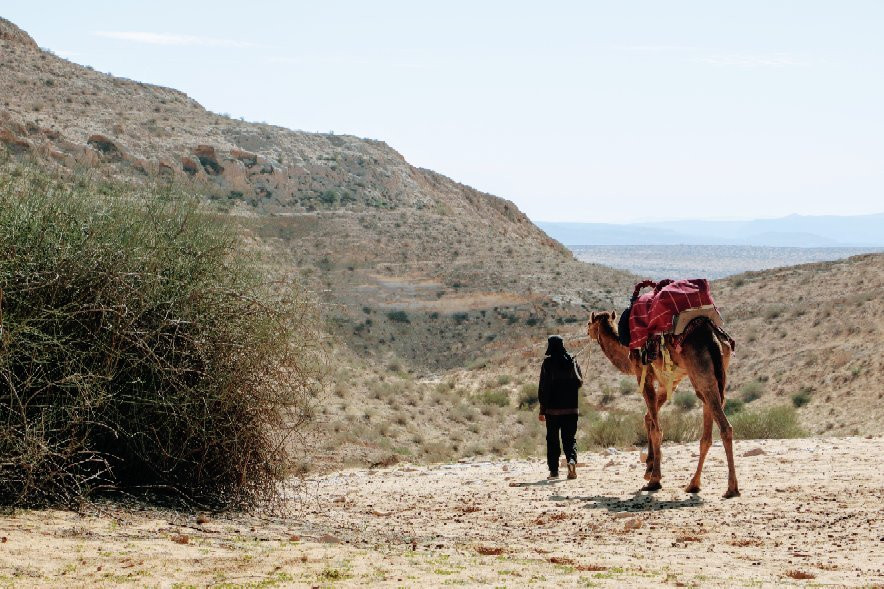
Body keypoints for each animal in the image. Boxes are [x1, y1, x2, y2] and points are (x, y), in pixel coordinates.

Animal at [587, 310, 739, 498]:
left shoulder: (642, 373)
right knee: (707, 434)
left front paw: (654, 479)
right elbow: (649, 418)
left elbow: (656, 429)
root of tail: (713, 335)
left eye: (590, 323)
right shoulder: (669, 383)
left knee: (725, 427)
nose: (587, 331)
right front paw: (649, 467)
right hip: (716, 377)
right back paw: (694, 484)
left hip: (702, 376)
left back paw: (731, 488)